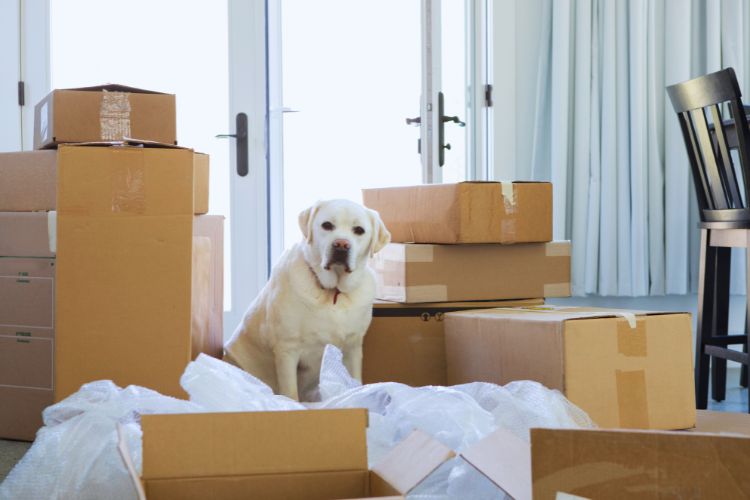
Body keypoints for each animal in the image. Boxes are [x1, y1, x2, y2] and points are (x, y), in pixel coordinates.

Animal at [223, 198, 390, 398]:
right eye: (327, 225)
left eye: (358, 230)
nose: (341, 245)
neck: (332, 293)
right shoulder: (287, 349)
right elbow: (290, 393)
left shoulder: (353, 347)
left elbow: (355, 381)